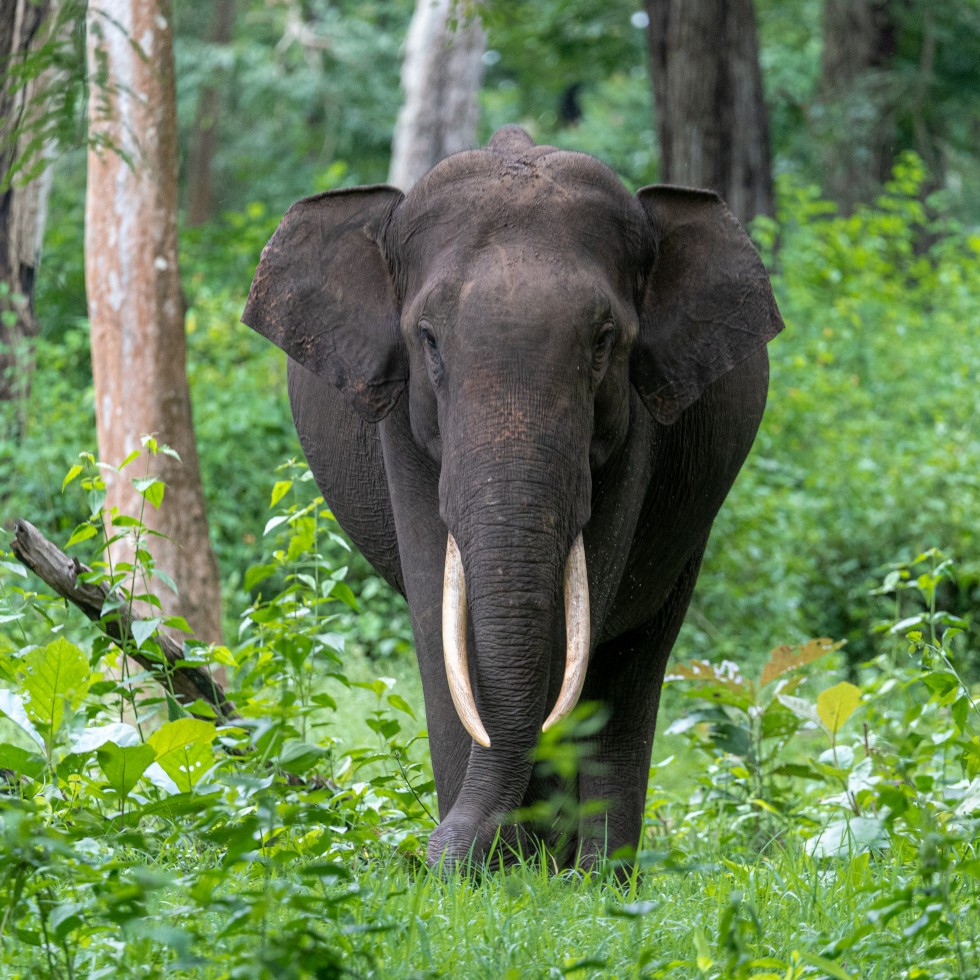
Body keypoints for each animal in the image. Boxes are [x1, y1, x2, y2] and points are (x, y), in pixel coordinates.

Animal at [243, 126, 783, 871]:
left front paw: (521, 866)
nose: (431, 851)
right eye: (429, 340)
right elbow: (438, 629)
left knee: (633, 665)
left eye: (604, 341)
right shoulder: (402, 425)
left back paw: (597, 877)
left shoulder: (636, 427)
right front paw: (479, 872)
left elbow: (581, 614)